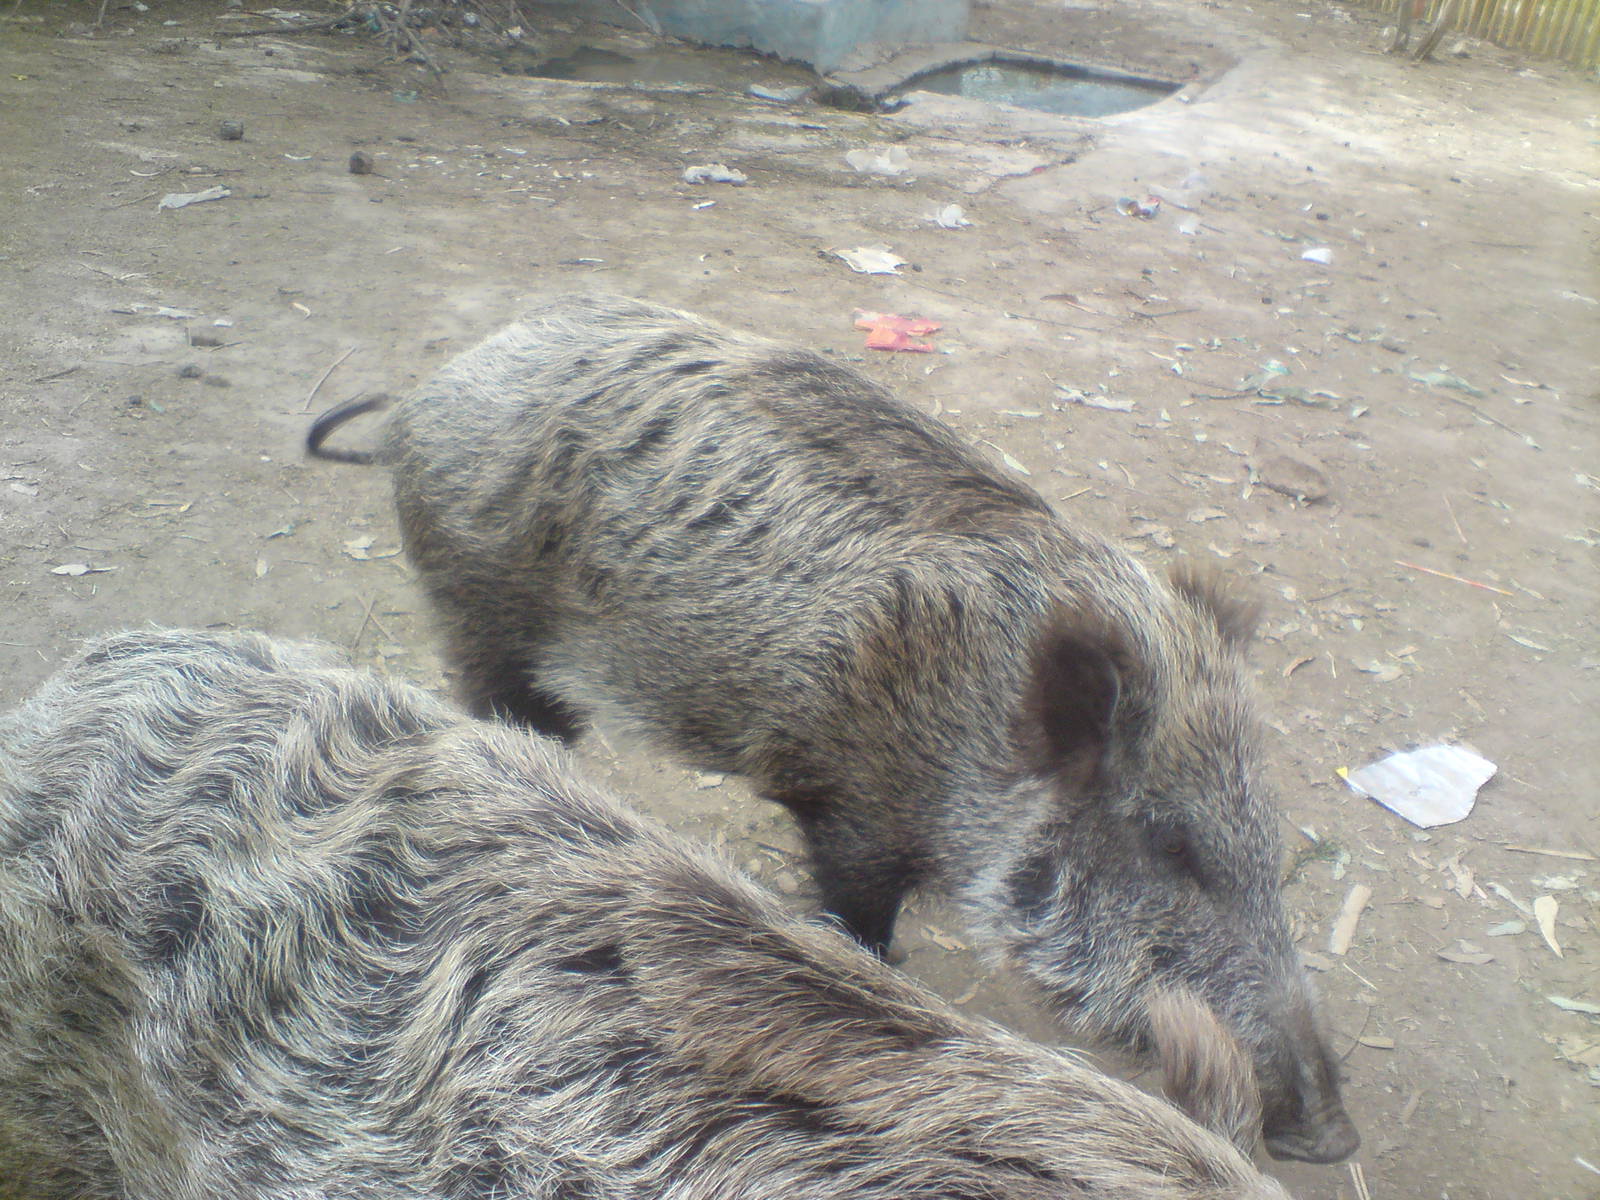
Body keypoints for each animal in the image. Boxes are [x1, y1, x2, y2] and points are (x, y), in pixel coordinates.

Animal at [306, 294, 1359, 1163]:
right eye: (1173, 847)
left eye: (1268, 842)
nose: (1334, 1136)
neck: (969, 733)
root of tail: (426, 394)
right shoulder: (848, 808)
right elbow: (859, 924)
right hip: (476, 615)